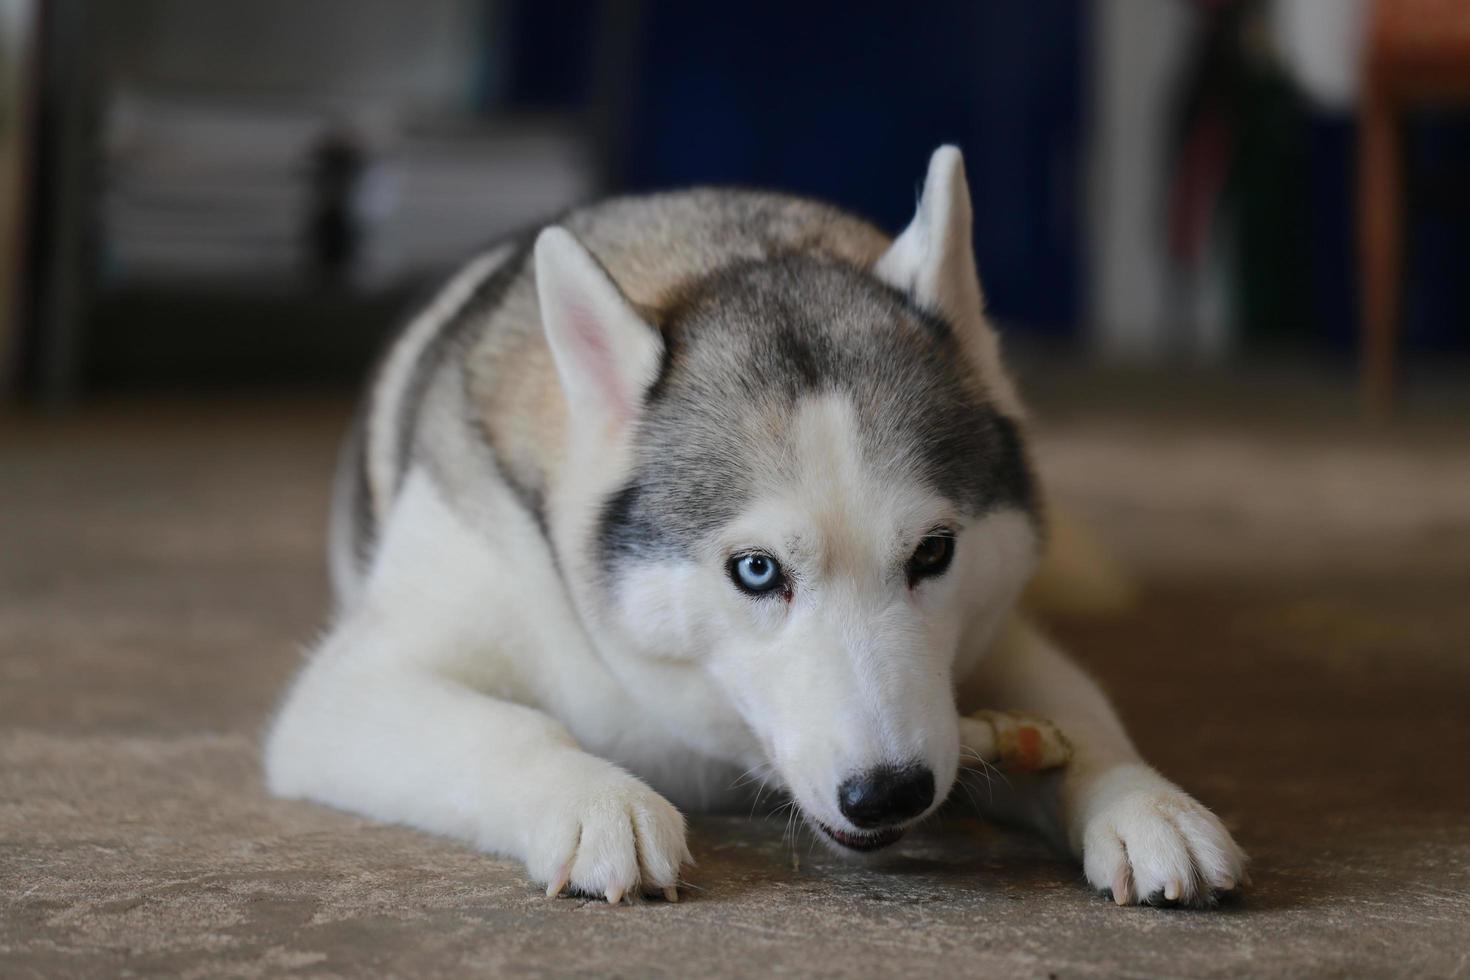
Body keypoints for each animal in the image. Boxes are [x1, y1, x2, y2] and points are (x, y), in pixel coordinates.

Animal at [264, 147, 1240, 910]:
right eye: (759, 572)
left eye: (933, 553)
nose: (889, 793)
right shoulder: (349, 690)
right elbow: (510, 728)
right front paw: (590, 799)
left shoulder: (1002, 633)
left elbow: (1087, 719)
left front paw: (1145, 802)